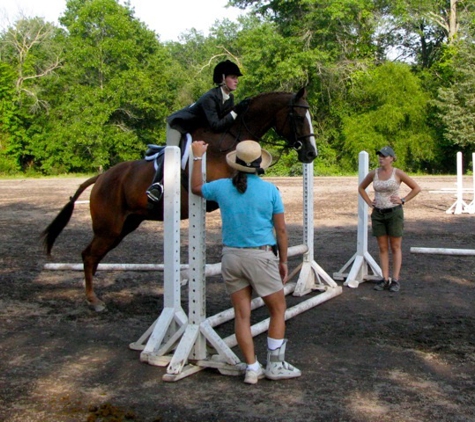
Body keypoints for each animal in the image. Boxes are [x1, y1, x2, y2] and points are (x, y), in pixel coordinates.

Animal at [41, 87, 316, 312]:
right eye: (298, 117)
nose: (311, 154)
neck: (230, 141)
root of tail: (101, 177)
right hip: (109, 228)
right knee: (88, 256)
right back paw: (94, 301)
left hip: (124, 227)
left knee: (93, 257)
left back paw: (92, 297)